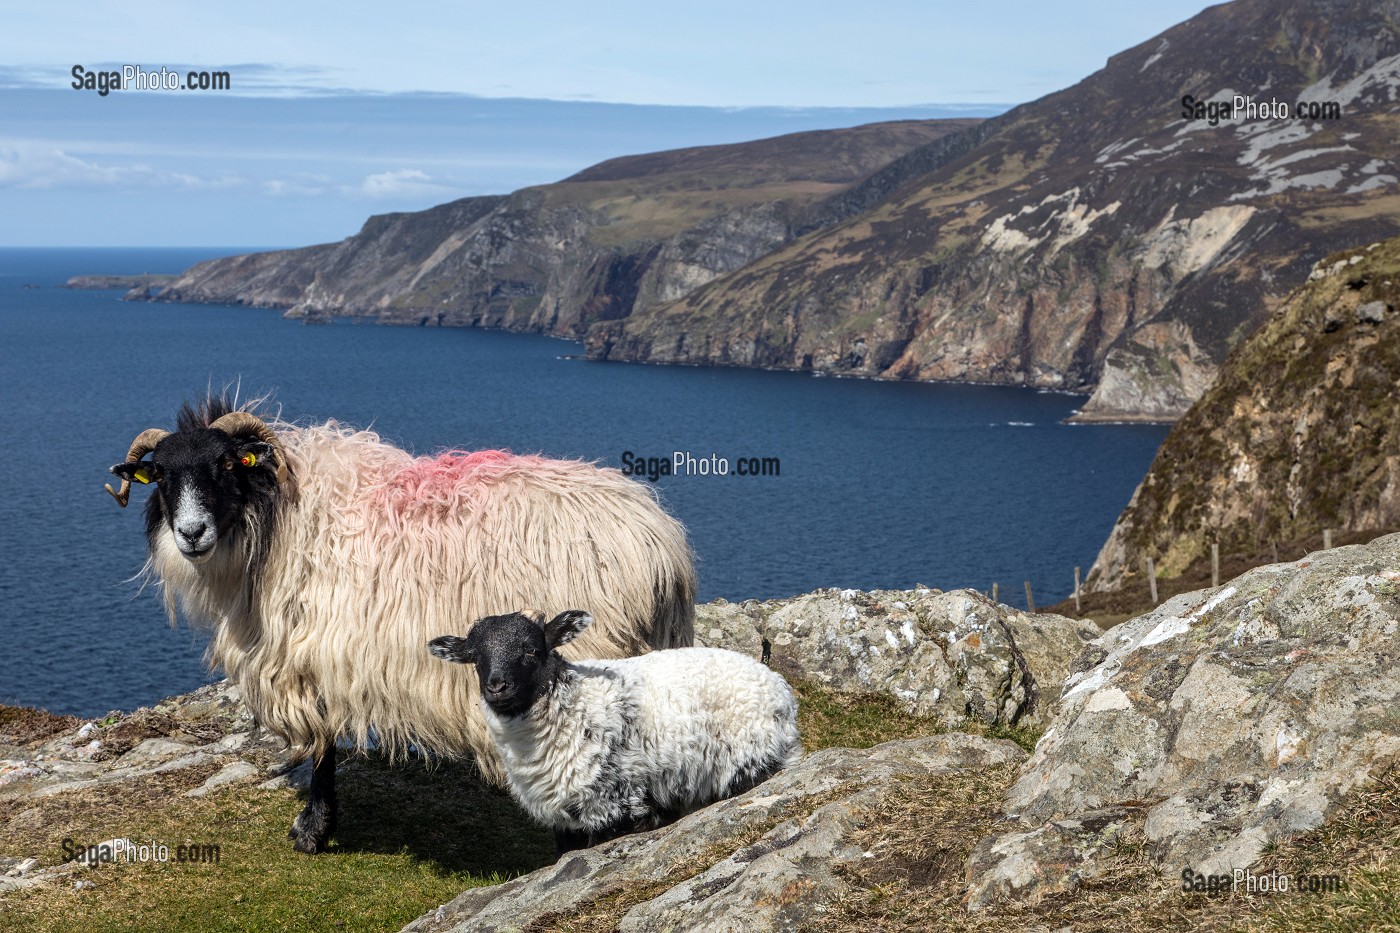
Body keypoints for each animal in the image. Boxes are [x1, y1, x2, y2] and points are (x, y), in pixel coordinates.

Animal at [103, 395, 694, 851]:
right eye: (162, 474)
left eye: (227, 465)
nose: (191, 533)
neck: (278, 517)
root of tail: (659, 545)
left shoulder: (311, 655)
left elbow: (322, 749)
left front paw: (312, 831)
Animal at [422, 607, 800, 851]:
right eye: (475, 657)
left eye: (531, 650)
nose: (497, 687)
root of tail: (779, 687)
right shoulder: (566, 823)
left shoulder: (619, 804)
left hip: (750, 760)